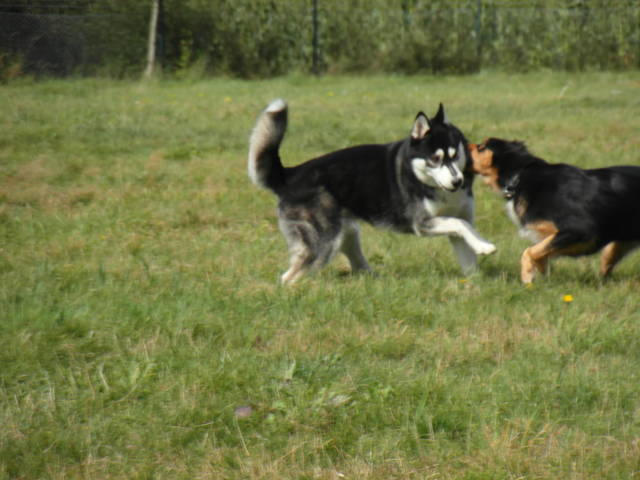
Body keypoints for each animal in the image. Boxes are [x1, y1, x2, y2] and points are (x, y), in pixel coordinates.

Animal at [468, 137, 640, 284]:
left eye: (481, 147)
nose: (465, 142)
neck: (519, 176)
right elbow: (540, 254)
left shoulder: (579, 230)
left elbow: (529, 252)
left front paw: (527, 279)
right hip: (621, 242)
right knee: (607, 263)